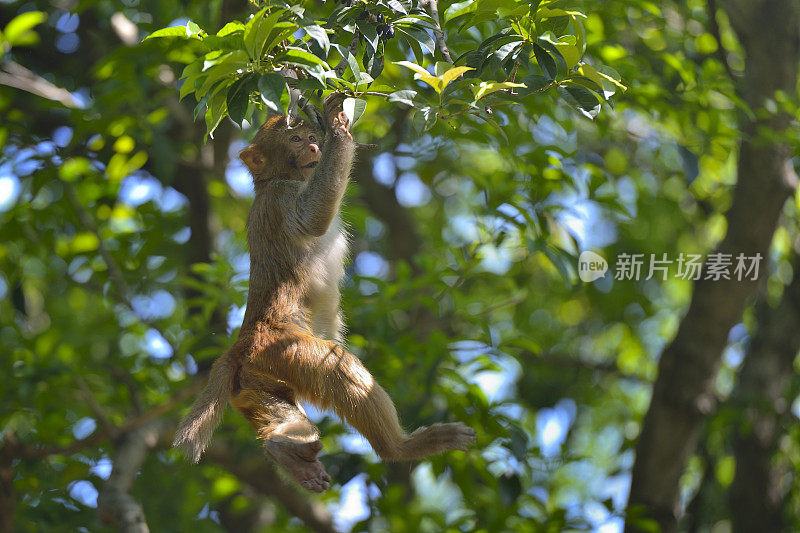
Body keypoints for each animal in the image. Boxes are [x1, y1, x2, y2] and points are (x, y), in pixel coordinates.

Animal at [175, 93, 476, 492]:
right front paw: (338, 130)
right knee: (338, 366)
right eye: (295, 140)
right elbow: (312, 218)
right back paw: (399, 448)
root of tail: (240, 346)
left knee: (279, 409)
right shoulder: (281, 198)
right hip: (285, 350)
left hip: (257, 380)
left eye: (306, 136)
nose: (316, 146)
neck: (277, 179)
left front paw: (334, 128)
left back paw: (286, 450)